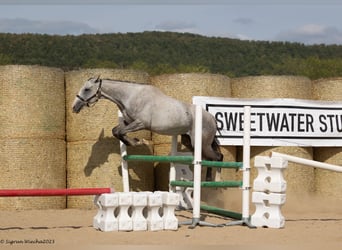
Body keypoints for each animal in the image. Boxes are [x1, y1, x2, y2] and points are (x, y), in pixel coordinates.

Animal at [72, 76, 223, 180]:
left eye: (86, 89)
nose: (74, 107)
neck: (130, 96)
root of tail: (212, 118)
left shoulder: (140, 123)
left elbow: (120, 132)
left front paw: (138, 142)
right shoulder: (128, 122)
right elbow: (116, 131)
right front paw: (135, 142)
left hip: (202, 143)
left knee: (218, 157)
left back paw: (214, 180)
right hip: (189, 141)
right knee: (209, 158)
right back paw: (208, 180)